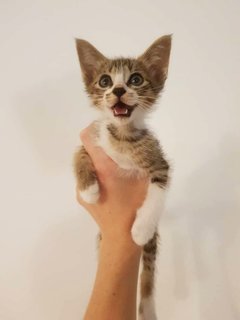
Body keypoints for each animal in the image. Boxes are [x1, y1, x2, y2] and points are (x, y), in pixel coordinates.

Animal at [74, 35, 172, 320]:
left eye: (135, 80)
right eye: (105, 81)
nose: (118, 90)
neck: (121, 134)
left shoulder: (159, 163)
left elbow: (157, 193)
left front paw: (140, 229)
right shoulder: (92, 141)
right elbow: (78, 155)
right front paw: (89, 190)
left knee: (148, 274)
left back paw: (148, 310)